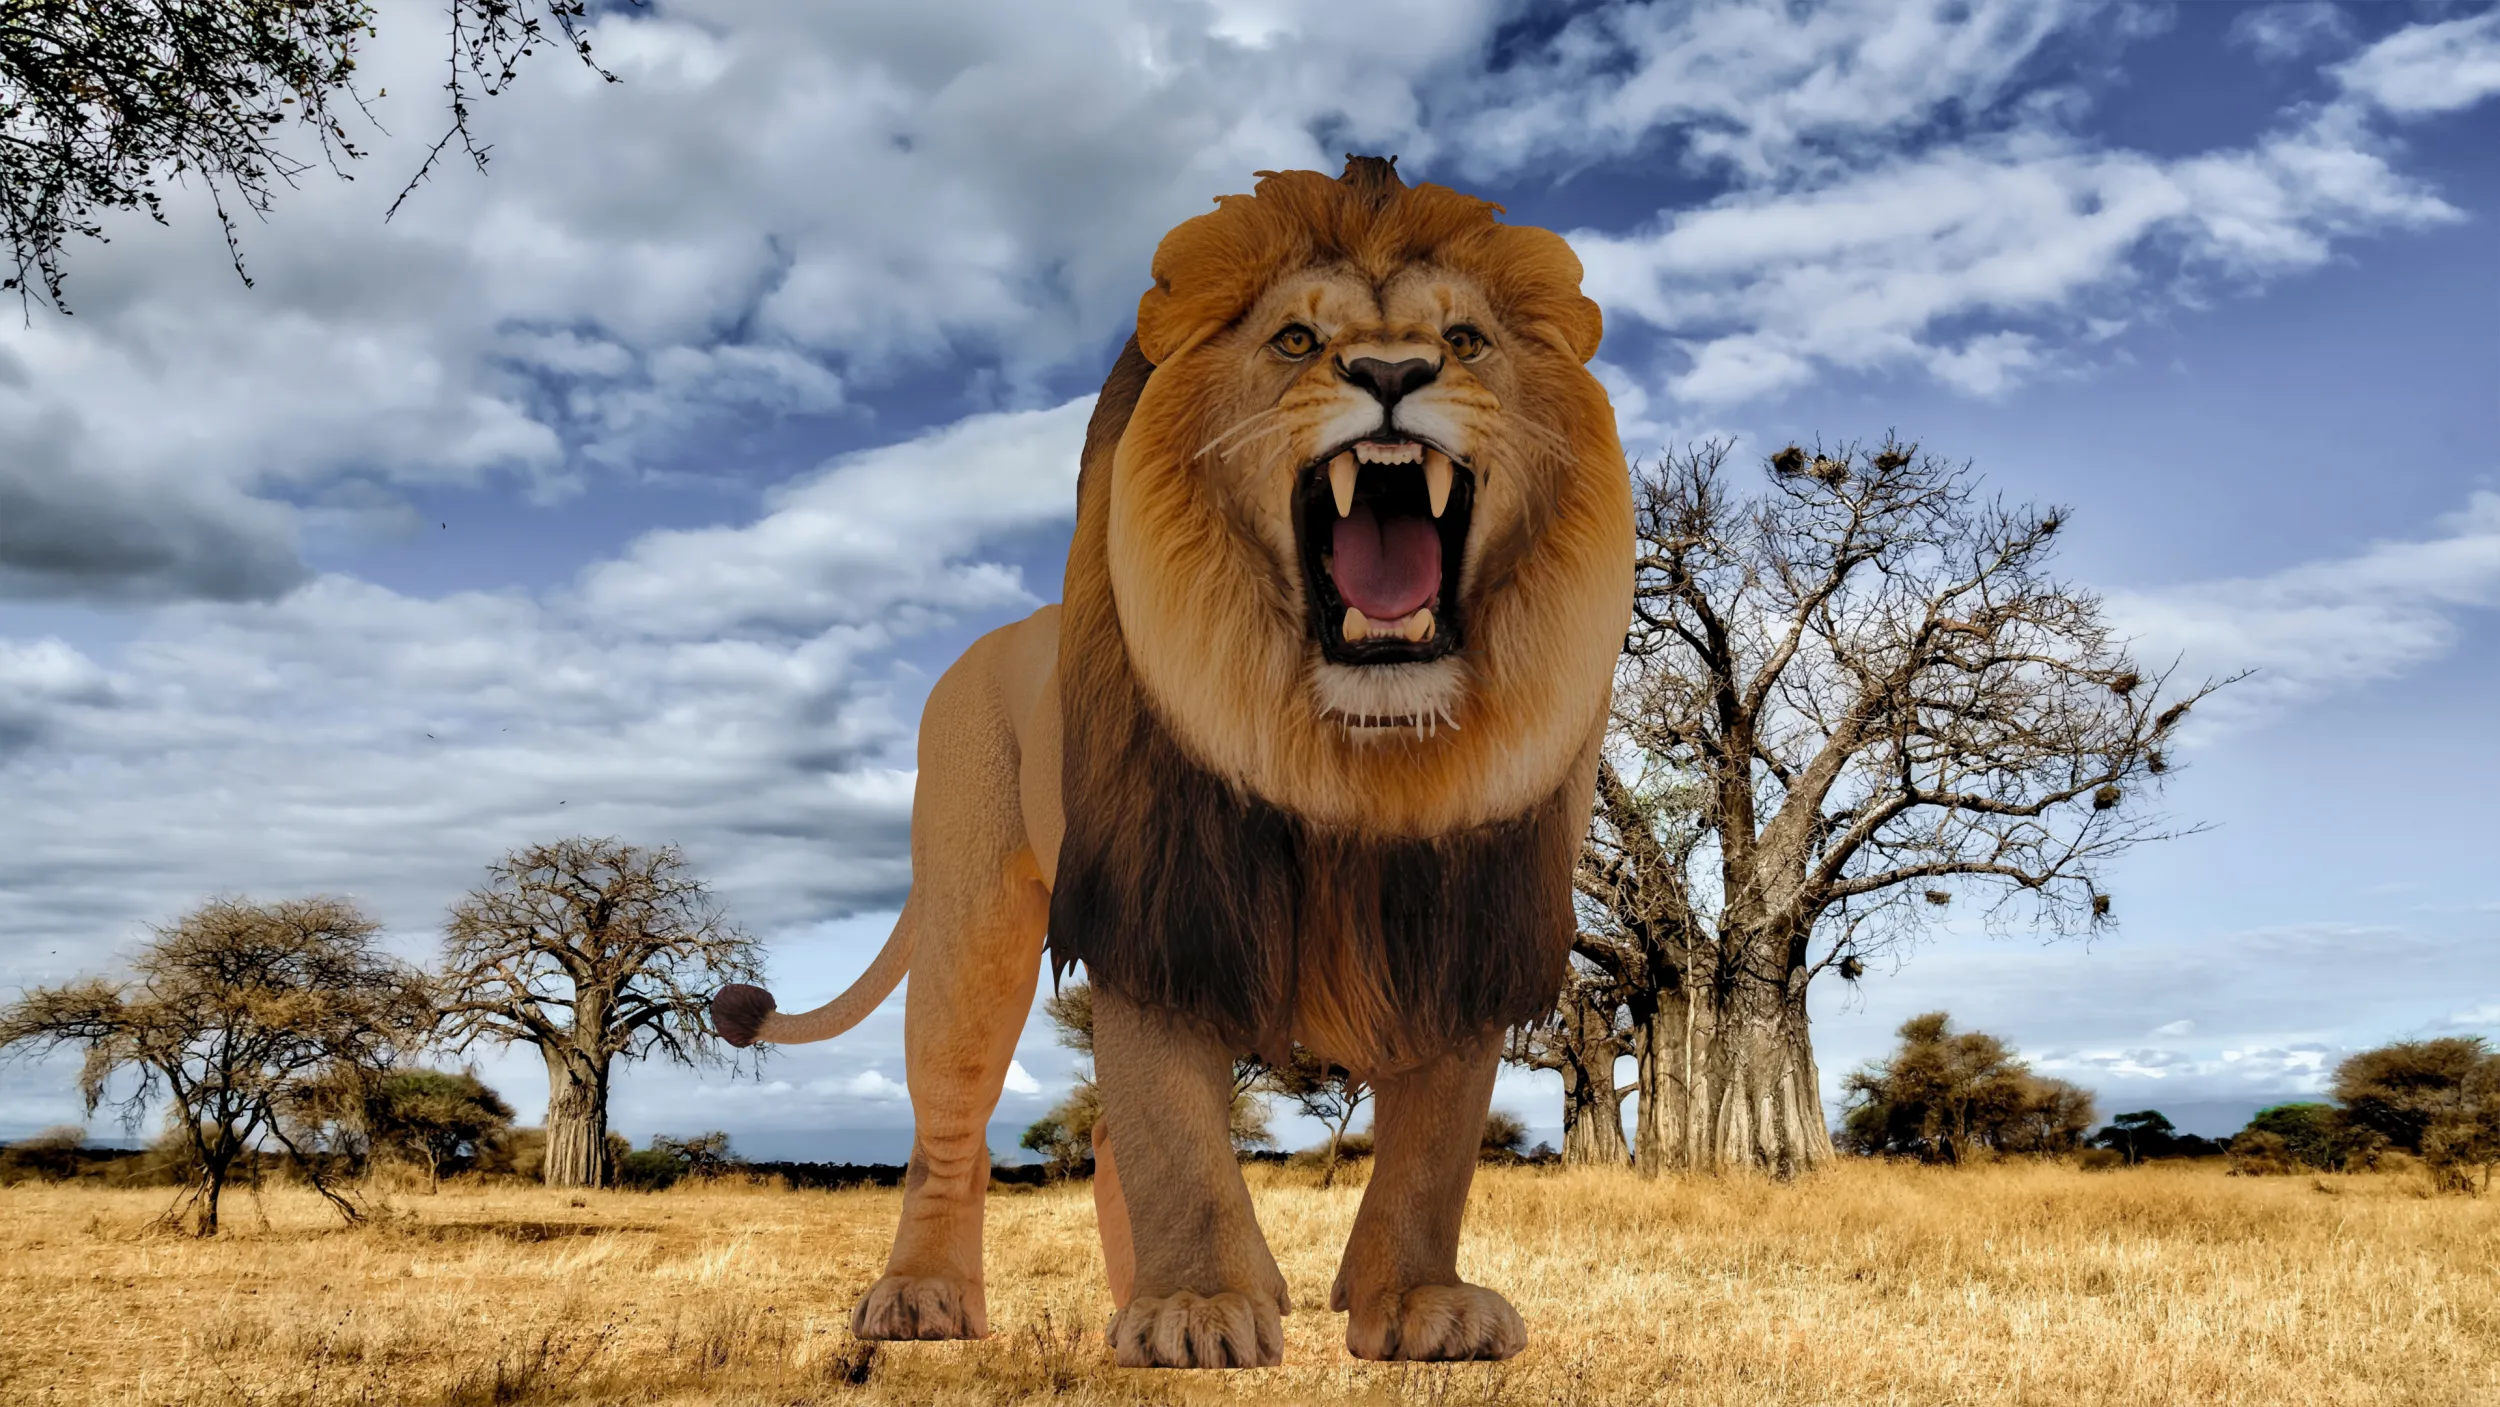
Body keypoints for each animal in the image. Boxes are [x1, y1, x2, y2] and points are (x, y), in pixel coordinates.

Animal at [710, 156, 1632, 1369]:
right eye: (1295, 338)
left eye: (1467, 340)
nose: (1392, 372)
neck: (1350, 754)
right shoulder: (1151, 905)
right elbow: (1174, 1131)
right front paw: (1197, 1308)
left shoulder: (1461, 925)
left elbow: (1432, 1148)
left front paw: (1420, 1302)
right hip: (971, 917)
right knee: (954, 1125)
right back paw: (923, 1300)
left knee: (1099, 1139)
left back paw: (1121, 1297)